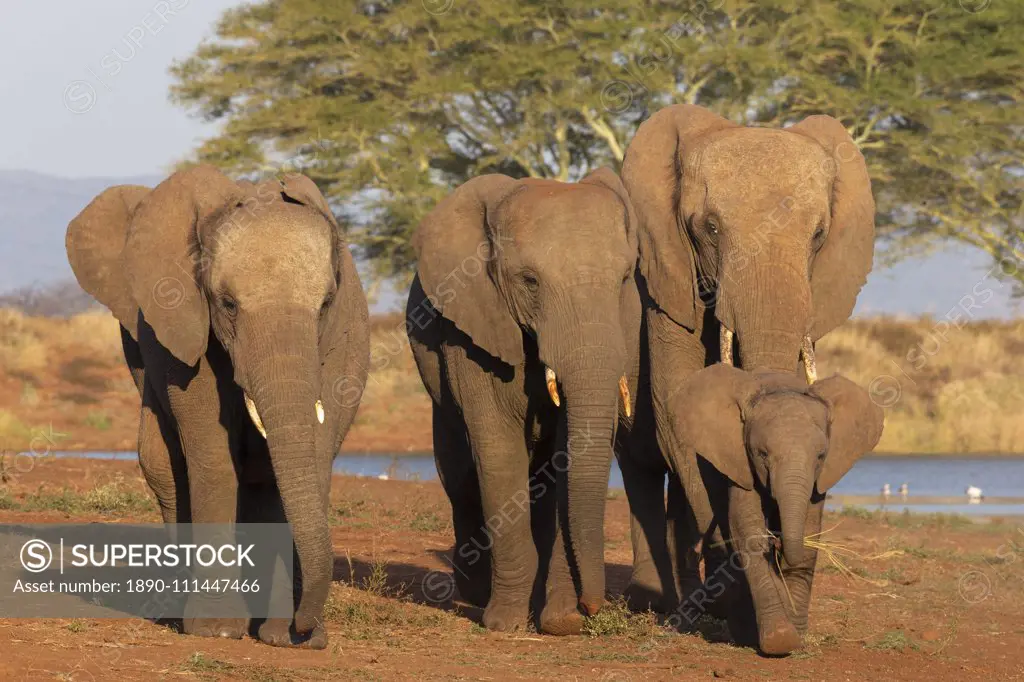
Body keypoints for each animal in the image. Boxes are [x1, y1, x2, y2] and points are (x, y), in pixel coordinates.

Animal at [65, 164, 368, 647]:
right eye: (227, 305)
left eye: (324, 305)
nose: (306, 630)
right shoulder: (183, 327)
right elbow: (211, 451)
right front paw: (217, 630)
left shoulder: (344, 336)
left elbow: (315, 454)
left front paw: (289, 638)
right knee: (164, 466)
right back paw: (178, 611)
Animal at [403, 165, 634, 630]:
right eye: (529, 282)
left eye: (624, 279)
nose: (591, 607)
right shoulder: (470, 324)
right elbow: (495, 449)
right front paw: (504, 623)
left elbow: (567, 458)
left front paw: (560, 622)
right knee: (458, 472)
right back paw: (476, 592)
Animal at [610, 103, 876, 614]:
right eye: (710, 228)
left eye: (818, 235)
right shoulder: (665, 285)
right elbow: (678, 410)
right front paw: (736, 598)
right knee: (640, 466)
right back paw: (656, 601)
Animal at [663, 364, 880, 655]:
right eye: (762, 454)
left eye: (821, 456)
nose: (778, 543)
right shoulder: (739, 461)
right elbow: (747, 529)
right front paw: (780, 640)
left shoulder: (820, 478)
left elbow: (809, 532)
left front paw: (796, 635)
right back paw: (745, 633)